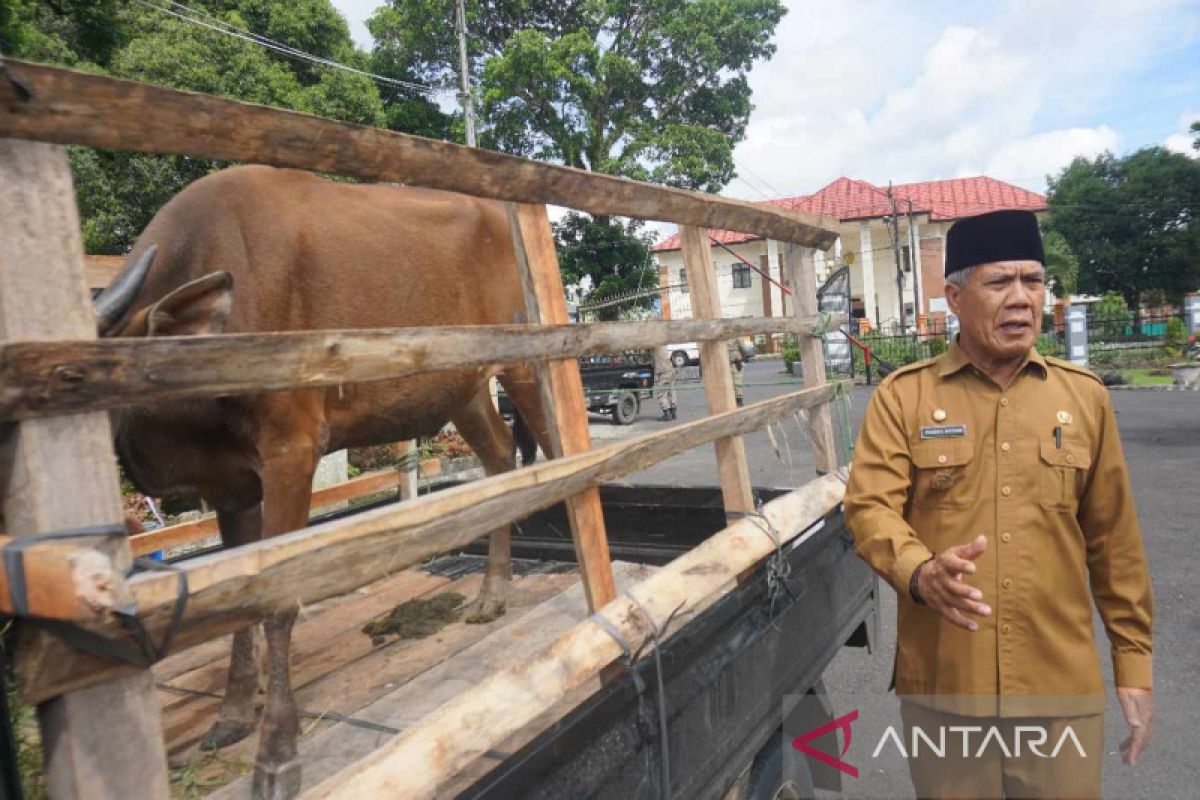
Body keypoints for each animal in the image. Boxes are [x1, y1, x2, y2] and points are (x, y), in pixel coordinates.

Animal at [96, 165, 554, 796]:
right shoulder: (230, 484)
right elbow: (245, 596)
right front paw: (232, 716)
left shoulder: (291, 446)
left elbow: (280, 599)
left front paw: (276, 754)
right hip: (462, 390)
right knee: (501, 455)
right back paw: (491, 593)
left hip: (525, 364)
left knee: (559, 444)